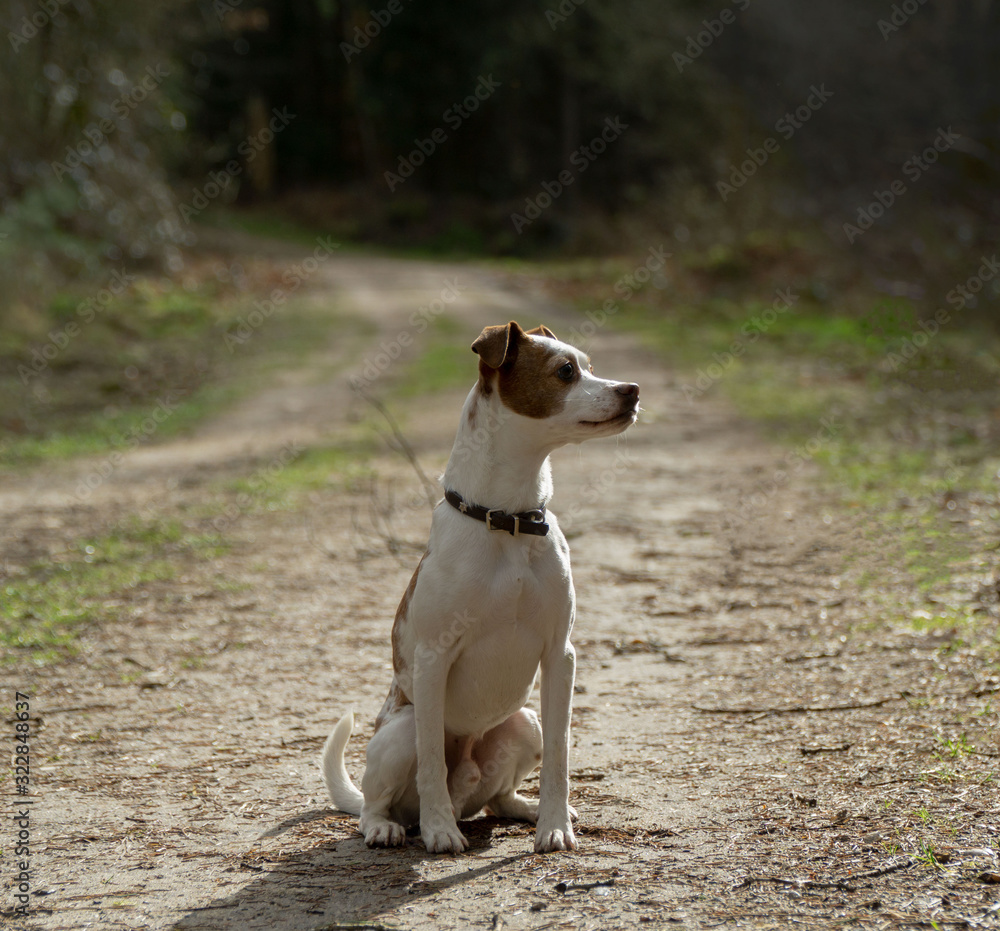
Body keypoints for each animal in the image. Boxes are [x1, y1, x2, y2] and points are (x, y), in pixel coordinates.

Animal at [324, 320, 644, 852]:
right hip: (399, 735)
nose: (632, 390)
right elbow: (432, 761)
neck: (508, 521)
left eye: (590, 365)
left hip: (525, 723)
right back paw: (393, 826)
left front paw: (555, 825)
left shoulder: (560, 656)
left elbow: (561, 757)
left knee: (499, 799)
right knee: (376, 801)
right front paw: (439, 832)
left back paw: (526, 810)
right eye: (565, 371)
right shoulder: (433, 658)